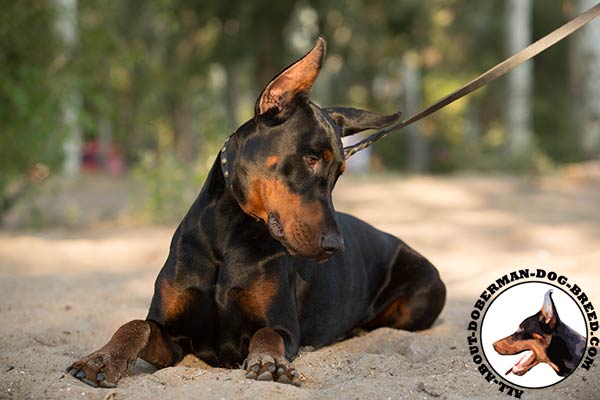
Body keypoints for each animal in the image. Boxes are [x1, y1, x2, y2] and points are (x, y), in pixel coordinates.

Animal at [67, 36, 446, 388]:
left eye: (339, 172)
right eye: (310, 159)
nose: (335, 247)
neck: (230, 231)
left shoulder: (282, 327)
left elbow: (267, 335)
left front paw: (271, 362)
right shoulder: (172, 334)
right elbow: (134, 325)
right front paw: (100, 360)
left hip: (425, 294)